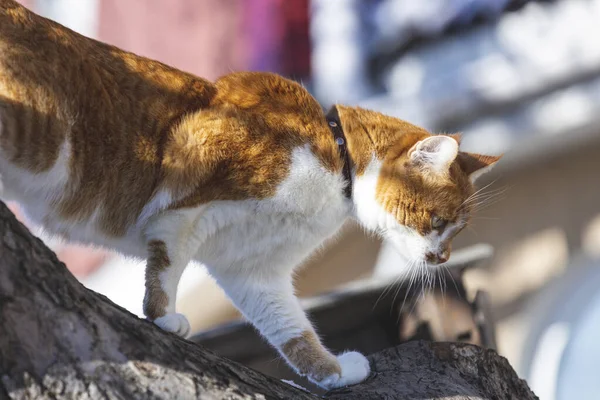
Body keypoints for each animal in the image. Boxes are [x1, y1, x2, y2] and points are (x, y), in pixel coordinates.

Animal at [0, 0, 500, 390]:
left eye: (457, 232)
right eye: (439, 222)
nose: (441, 257)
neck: (335, 168)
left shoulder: (253, 270)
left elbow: (290, 327)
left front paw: (335, 372)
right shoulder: (187, 182)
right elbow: (166, 265)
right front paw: (162, 317)